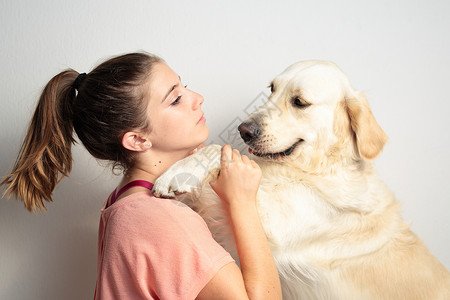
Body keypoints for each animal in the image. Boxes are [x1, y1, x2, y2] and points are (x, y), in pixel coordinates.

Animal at [152, 59, 450, 298]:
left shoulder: (275, 225)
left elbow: (220, 153)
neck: (315, 169)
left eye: (300, 102)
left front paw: (177, 173)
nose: (244, 130)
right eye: (272, 88)